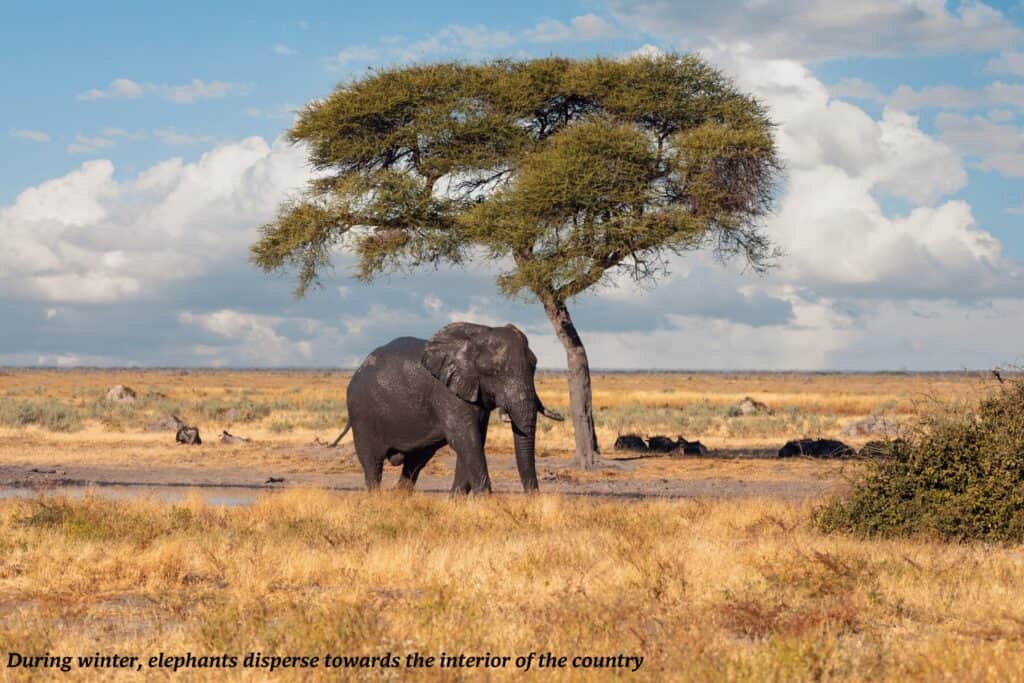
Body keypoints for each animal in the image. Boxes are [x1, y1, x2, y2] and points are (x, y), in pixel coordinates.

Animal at [331, 323, 565, 493]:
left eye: (534, 366)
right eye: (496, 372)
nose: (534, 499)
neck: (480, 334)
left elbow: (474, 439)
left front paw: (457, 502)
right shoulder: (447, 392)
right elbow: (465, 438)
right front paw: (487, 502)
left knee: (414, 463)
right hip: (362, 413)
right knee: (373, 464)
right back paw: (377, 499)